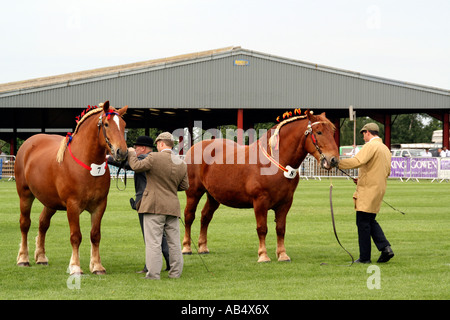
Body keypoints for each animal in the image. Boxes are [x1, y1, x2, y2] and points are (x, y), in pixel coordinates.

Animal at [14, 100, 127, 276]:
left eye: (124, 125)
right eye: (107, 124)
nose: (122, 152)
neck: (88, 166)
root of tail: (29, 143)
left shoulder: (100, 205)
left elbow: (95, 235)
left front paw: (97, 266)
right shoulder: (72, 206)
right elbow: (76, 236)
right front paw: (75, 267)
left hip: (50, 202)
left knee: (43, 223)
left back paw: (41, 257)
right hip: (25, 195)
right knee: (25, 224)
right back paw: (23, 259)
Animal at [181, 110, 340, 262]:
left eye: (332, 131)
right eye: (319, 132)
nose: (334, 160)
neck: (273, 164)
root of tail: (196, 147)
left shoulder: (285, 203)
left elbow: (280, 228)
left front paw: (282, 255)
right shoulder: (260, 202)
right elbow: (262, 228)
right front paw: (263, 255)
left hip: (213, 196)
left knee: (205, 216)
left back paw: (203, 247)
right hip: (194, 193)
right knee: (189, 216)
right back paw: (186, 247)